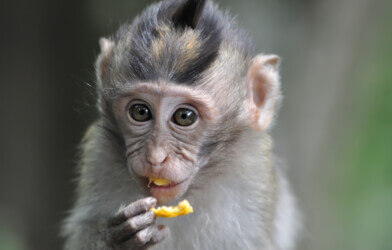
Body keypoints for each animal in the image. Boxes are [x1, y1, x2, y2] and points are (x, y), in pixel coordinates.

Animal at [61, 0, 300, 249]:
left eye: (184, 116)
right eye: (140, 112)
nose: (156, 158)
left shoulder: (255, 175)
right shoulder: (99, 157)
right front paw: (117, 240)